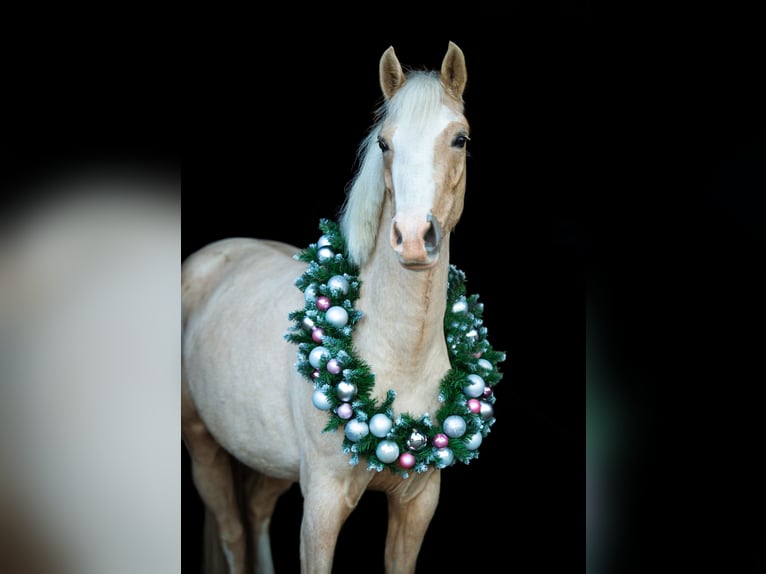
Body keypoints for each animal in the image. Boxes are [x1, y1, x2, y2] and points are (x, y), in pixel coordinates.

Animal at [182, 41, 504, 574]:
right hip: (204, 447)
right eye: (384, 144)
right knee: (232, 532)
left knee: (257, 513)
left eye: (460, 139)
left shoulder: (417, 502)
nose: (412, 237)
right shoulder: (323, 503)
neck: (398, 358)